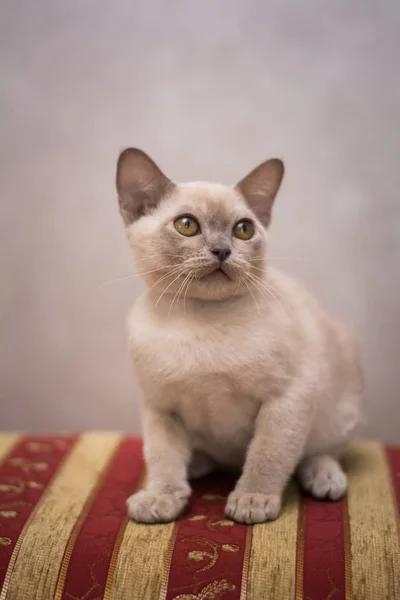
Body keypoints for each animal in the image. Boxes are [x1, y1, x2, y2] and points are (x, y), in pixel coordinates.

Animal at [115, 148, 362, 524]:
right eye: (187, 225)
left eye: (243, 230)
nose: (222, 251)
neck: (201, 320)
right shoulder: (161, 407)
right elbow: (162, 458)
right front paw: (163, 498)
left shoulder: (287, 396)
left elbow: (267, 456)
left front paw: (252, 500)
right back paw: (196, 465)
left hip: (338, 404)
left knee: (322, 451)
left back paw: (324, 479)